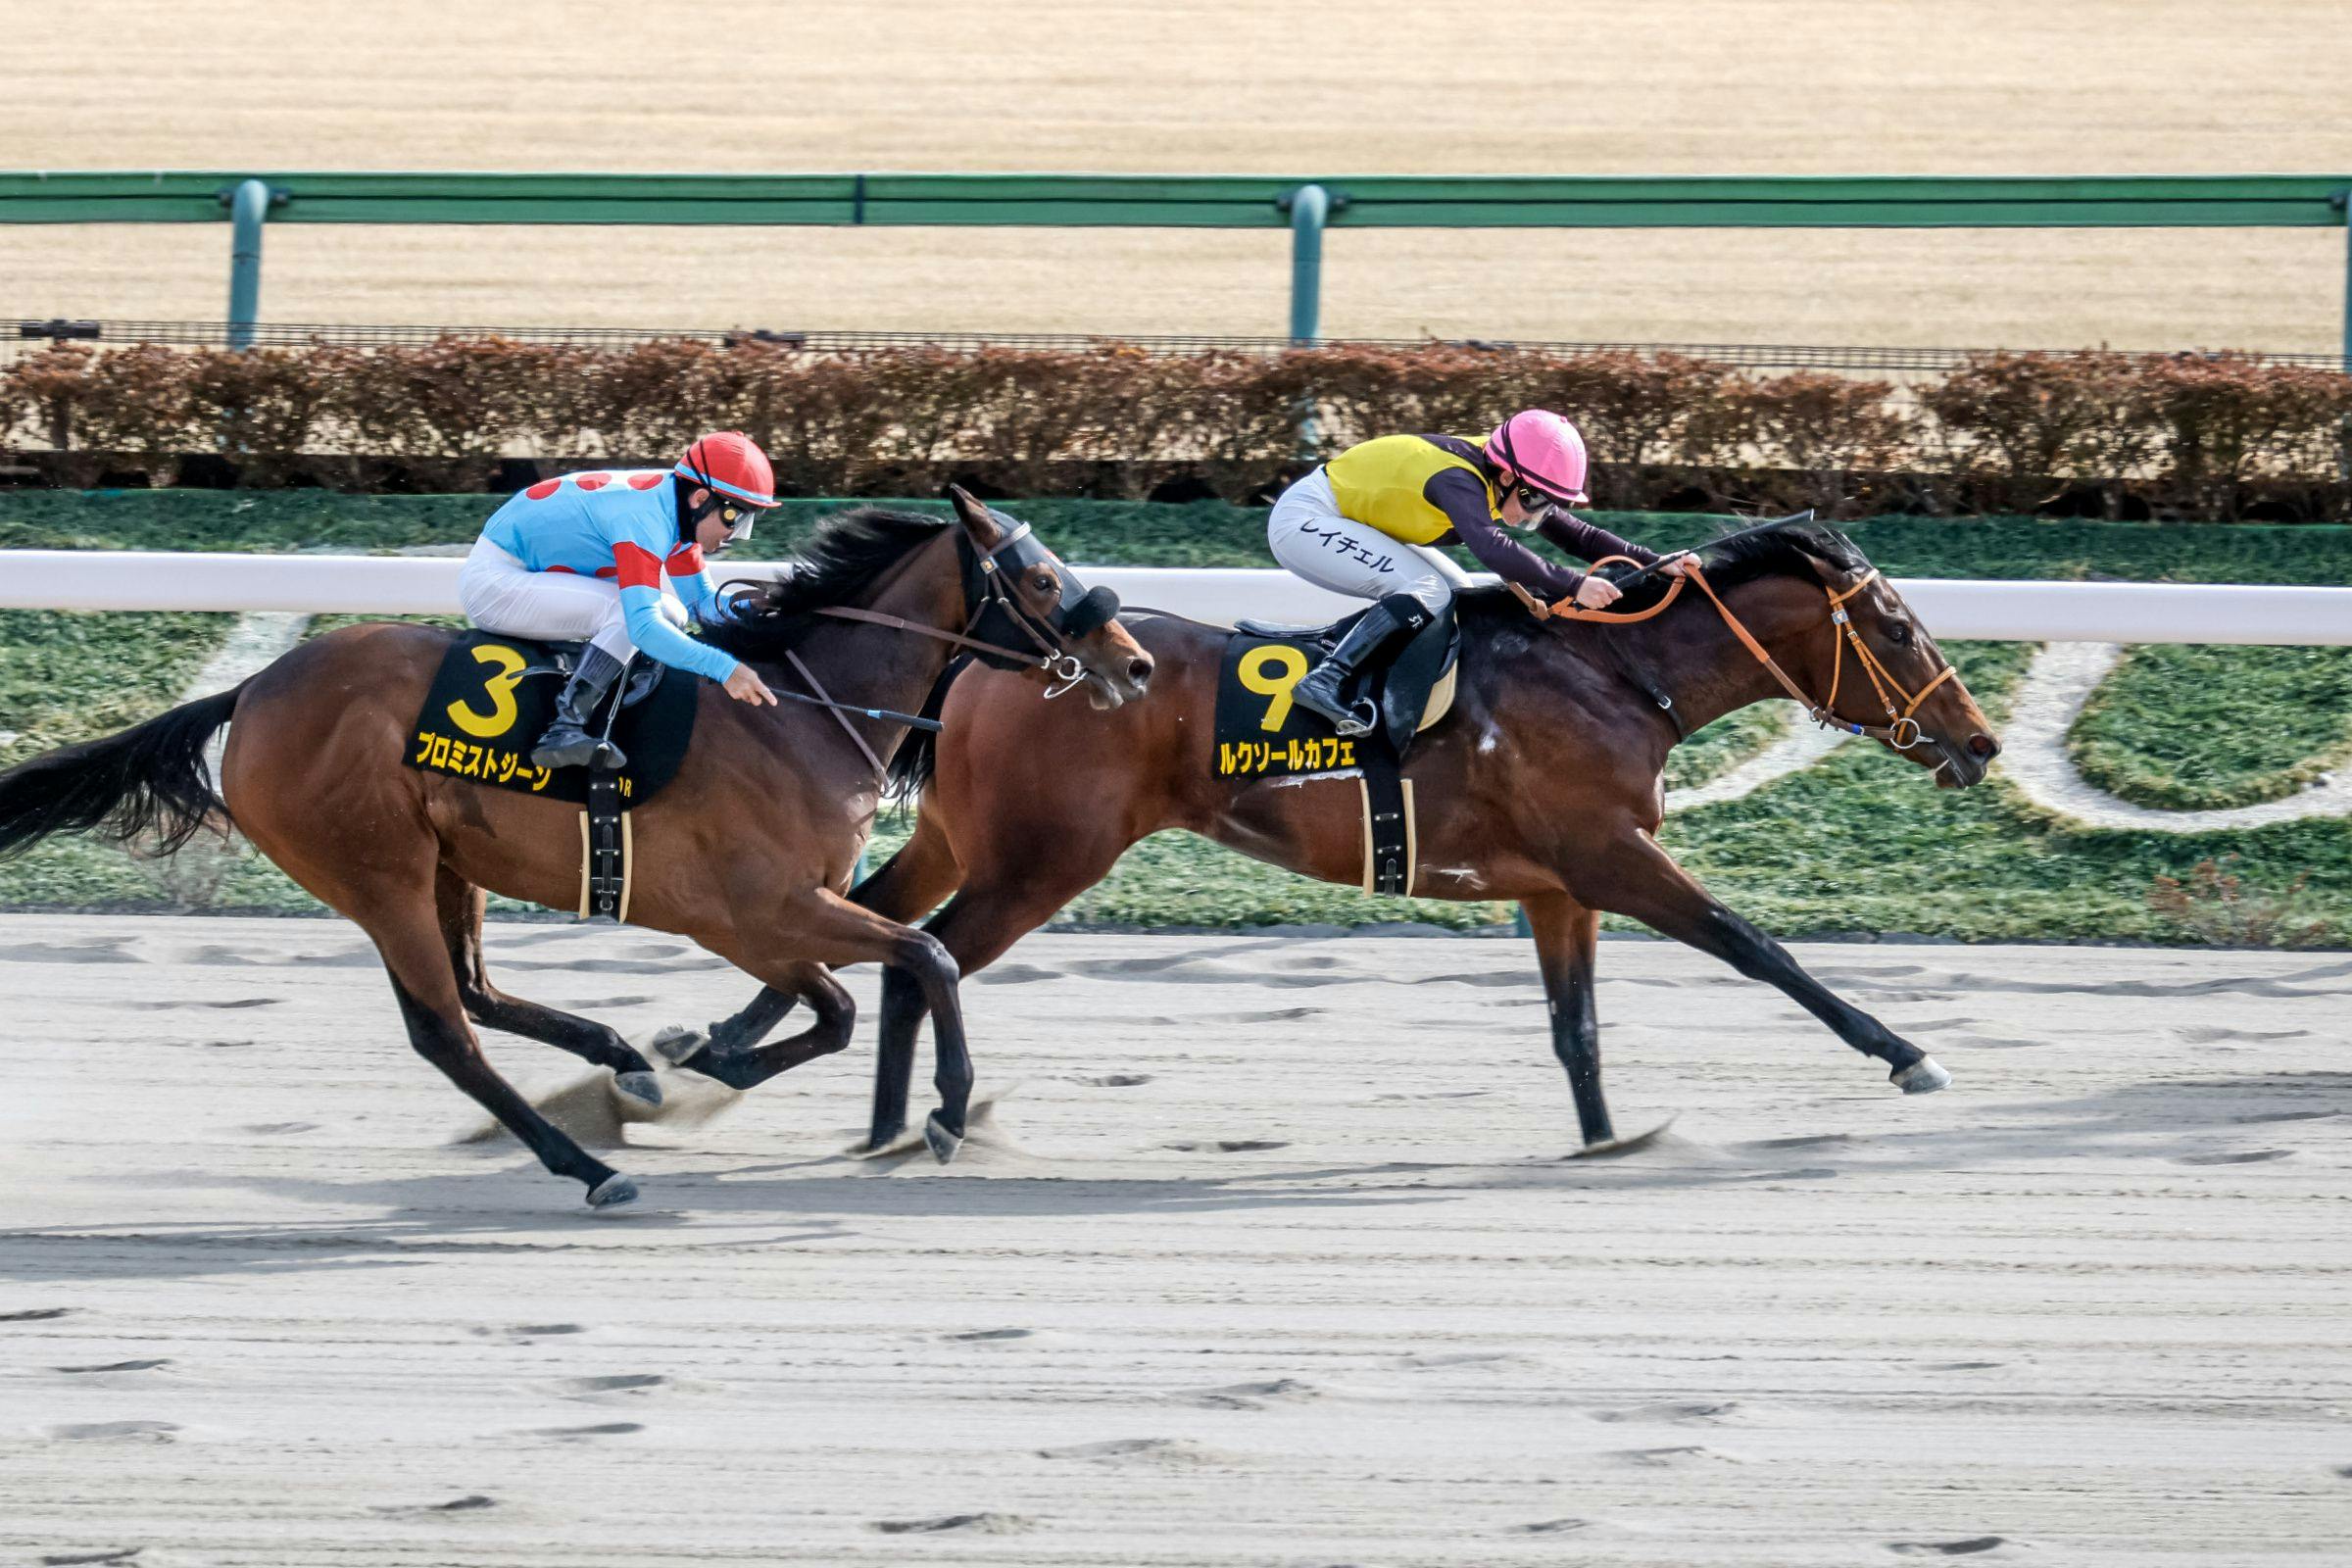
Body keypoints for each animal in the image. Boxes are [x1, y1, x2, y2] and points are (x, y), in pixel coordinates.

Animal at [0, 496, 1148, 1212]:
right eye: (1039, 577)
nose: (1135, 662)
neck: (802, 711)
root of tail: (254, 691)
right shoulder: (751, 908)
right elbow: (910, 967)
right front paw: (944, 1112)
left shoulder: (783, 912)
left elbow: (839, 999)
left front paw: (694, 1054)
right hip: (376, 872)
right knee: (446, 1030)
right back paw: (588, 1165)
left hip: (446, 862)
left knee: (478, 989)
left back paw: (619, 1058)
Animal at [691, 521, 2003, 1161]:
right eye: (1899, 628)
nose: (1980, 741)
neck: (1616, 675)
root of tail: (1003, 659)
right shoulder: (1614, 855)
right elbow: (1755, 946)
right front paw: (1907, 1053)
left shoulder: (1559, 884)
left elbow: (1575, 1028)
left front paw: (1605, 1141)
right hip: (1040, 860)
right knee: (928, 956)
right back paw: (915, 1117)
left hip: (969, 839)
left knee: (880, 926)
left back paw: (804, 1089)